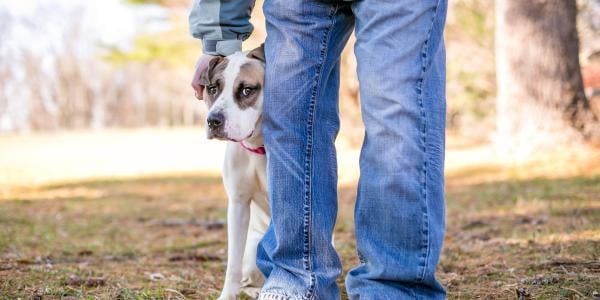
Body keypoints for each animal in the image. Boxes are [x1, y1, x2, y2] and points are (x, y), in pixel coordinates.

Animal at [199, 45, 270, 300]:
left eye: (247, 90)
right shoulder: (238, 204)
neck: (259, 147)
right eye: (213, 89)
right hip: (253, 252)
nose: (213, 121)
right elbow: (233, 265)